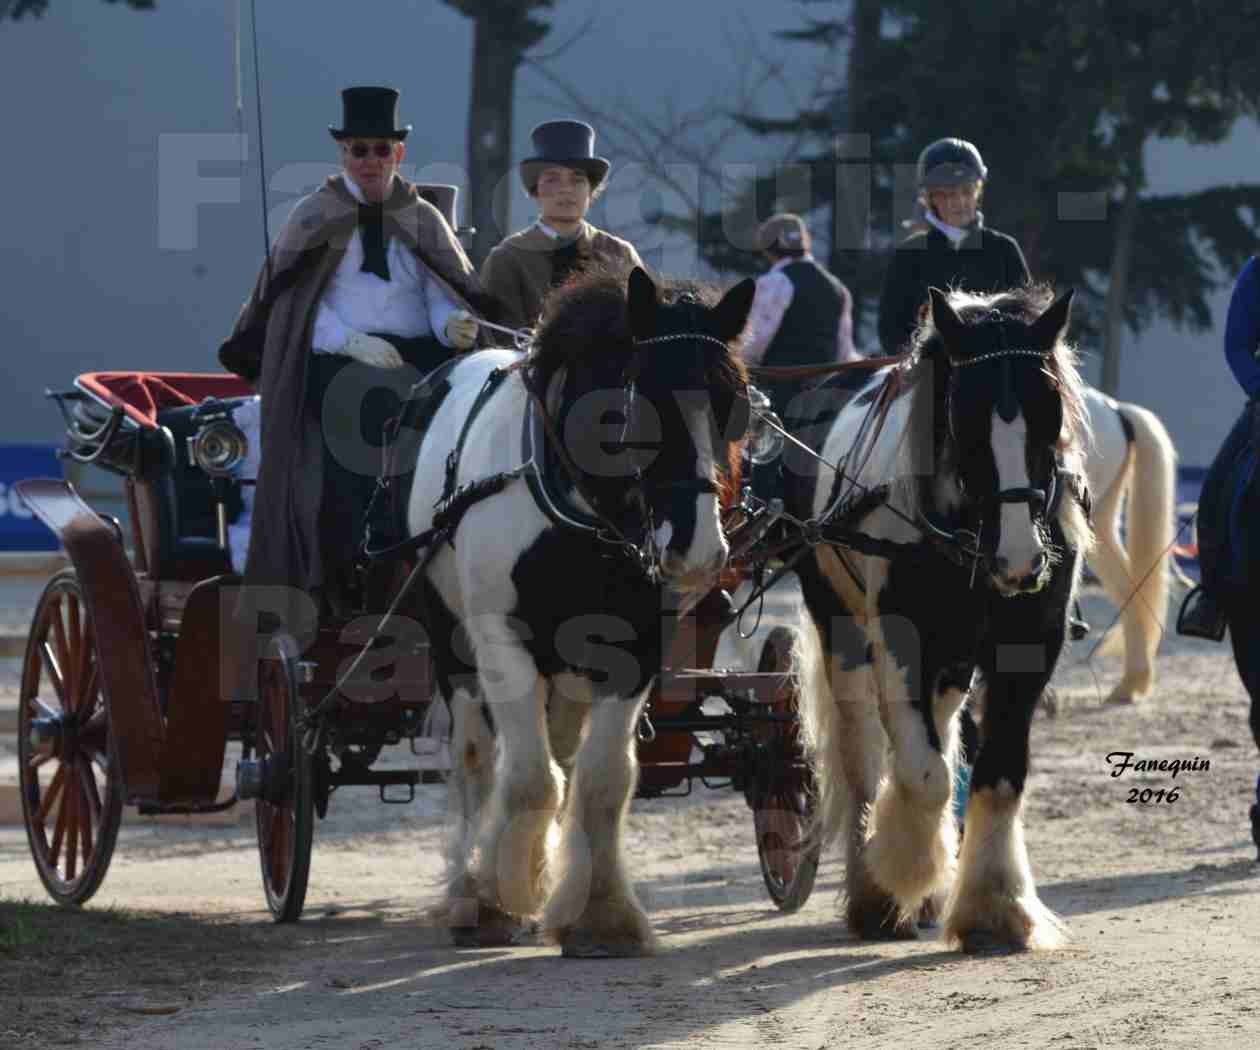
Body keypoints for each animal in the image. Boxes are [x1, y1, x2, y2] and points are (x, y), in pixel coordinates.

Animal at [408, 265, 750, 952]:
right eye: (640, 403)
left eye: (731, 404)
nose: (699, 548)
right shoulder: (501, 641)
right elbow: (528, 777)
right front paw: (502, 895)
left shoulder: (635, 646)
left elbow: (601, 778)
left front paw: (600, 913)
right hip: (451, 639)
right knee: (476, 758)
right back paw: (470, 890)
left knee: (562, 752)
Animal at [796, 281, 1093, 947]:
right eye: (964, 413)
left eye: (1050, 409)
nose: (1020, 558)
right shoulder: (899, 639)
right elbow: (922, 773)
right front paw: (899, 876)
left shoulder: (1028, 646)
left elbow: (998, 775)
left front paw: (994, 907)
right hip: (842, 630)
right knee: (860, 749)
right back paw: (872, 894)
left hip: (954, 657)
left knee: (941, 721)